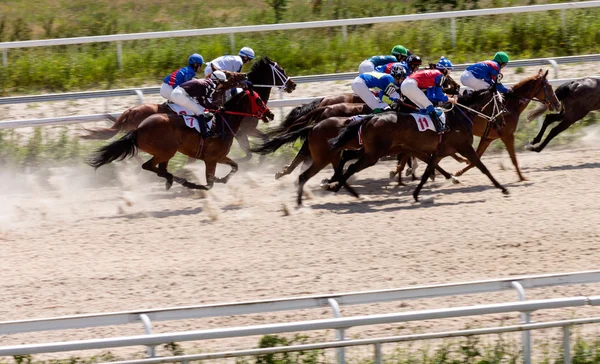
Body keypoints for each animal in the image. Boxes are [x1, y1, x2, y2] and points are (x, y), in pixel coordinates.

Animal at [326, 88, 508, 202]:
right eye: (500, 104)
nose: (502, 122)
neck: (458, 116)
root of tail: (370, 118)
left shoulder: (439, 152)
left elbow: (428, 171)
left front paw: (416, 194)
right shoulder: (464, 147)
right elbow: (482, 167)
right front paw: (502, 188)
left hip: (369, 150)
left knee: (347, 157)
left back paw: (335, 184)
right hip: (374, 154)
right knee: (351, 167)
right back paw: (340, 188)